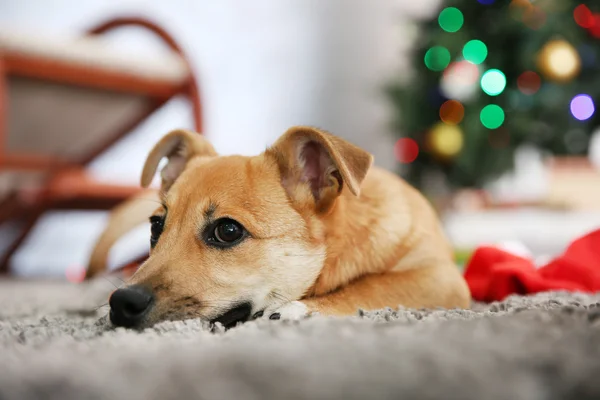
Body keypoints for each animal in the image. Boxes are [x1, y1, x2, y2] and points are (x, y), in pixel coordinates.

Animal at [86, 127, 472, 328]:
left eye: (228, 231)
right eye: (156, 225)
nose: (122, 303)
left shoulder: (441, 278)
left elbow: (376, 285)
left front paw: (298, 309)